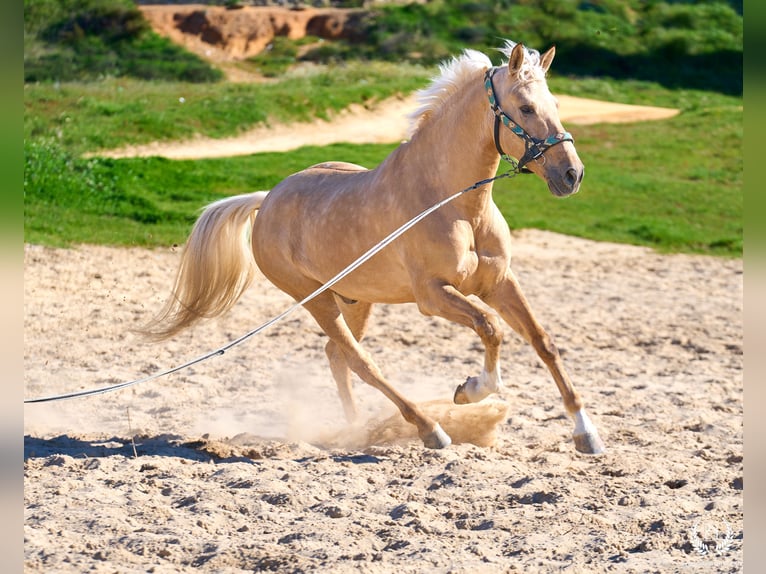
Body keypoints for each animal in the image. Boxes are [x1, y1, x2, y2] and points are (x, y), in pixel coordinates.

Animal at [144, 40, 605, 455]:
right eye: (525, 108)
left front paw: (586, 435)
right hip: (315, 300)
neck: (453, 204)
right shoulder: (432, 296)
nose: (572, 175)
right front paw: (470, 390)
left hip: (357, 300)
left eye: (555, 104)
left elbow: (544, 342)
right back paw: (429, 429)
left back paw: (357, 430)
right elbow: (490, 328)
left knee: (338, 356)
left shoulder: (499, 283)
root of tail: (266, 200)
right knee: (360, 361)